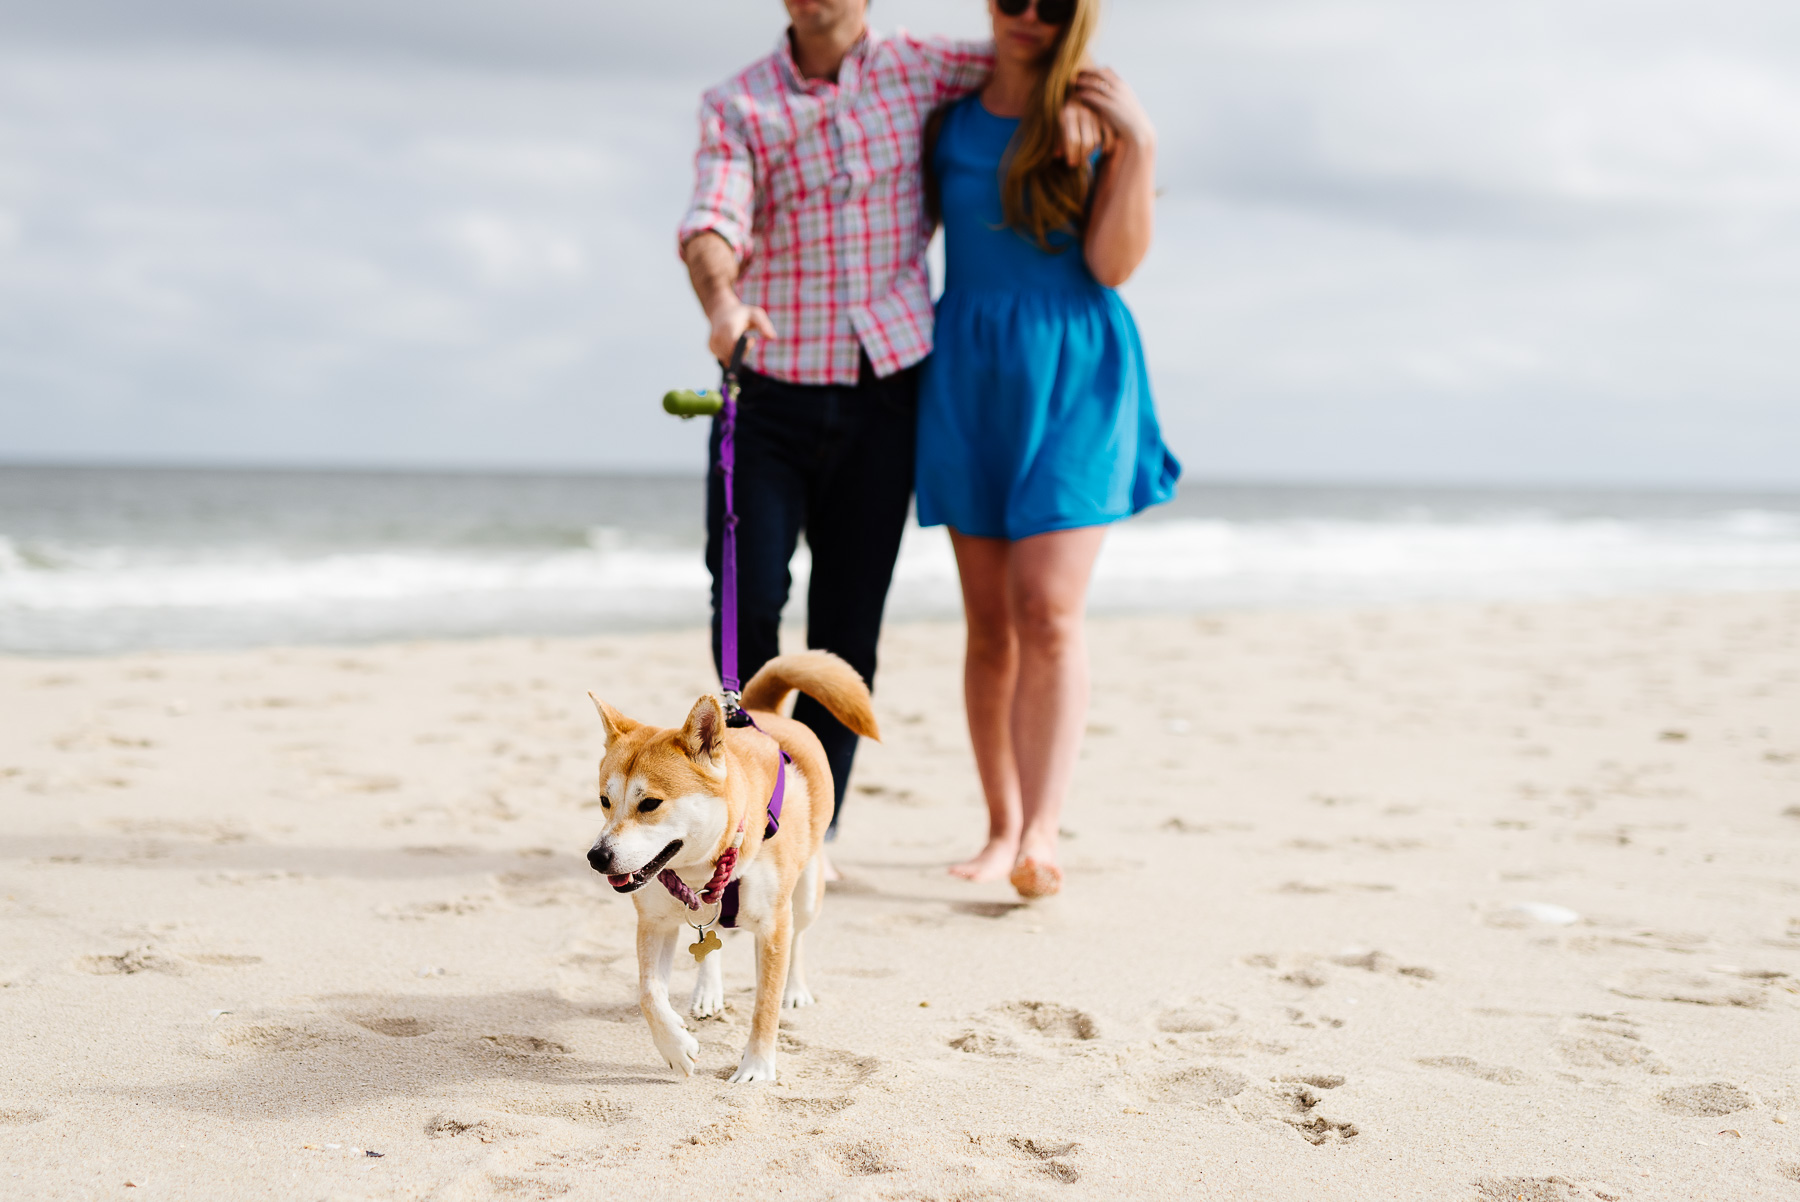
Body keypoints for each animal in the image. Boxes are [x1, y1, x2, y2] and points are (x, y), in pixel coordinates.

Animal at [586, 651, 874, 1086]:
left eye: (650, 803)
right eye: (605, 801)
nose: (597, 856)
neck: (700, 867)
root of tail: (761, 712)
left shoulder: (773, 927)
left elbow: (765, 1005)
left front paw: (756, 1067)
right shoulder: (655, 922)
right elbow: (649, 993)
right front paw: (676, 1049)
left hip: (806, 894)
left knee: (799, 937)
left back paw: (795, 989)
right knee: (710, 938)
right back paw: (708, 991)